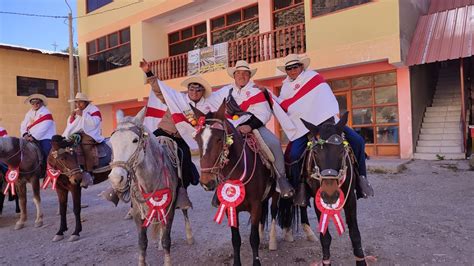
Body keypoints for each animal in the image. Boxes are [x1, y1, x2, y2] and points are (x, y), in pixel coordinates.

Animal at [108, 109, 193, 264]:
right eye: (112, 142)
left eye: (135, 140)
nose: (117, 179)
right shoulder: (137, 213)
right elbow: (142, 242)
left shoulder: (169, 209)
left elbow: (166, 239)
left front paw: (167, 262)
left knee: (184, 211)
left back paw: (190, 236)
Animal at [191, 102, 282, 266]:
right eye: (197, 140)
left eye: (219, 139)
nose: (207, 182)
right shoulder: (229, 207)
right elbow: (236, 239)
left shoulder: (255, 205)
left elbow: (253, 238)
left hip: (276, 194)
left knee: (273, 212)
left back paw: (272, 242)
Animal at [300, 112, 370, 266]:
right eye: (315, 152)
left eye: (341, 151)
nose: (330, 195)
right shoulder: (318, 202)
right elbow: (325, 237)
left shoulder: (350, 199)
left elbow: (355, 234)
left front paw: (361, 260)